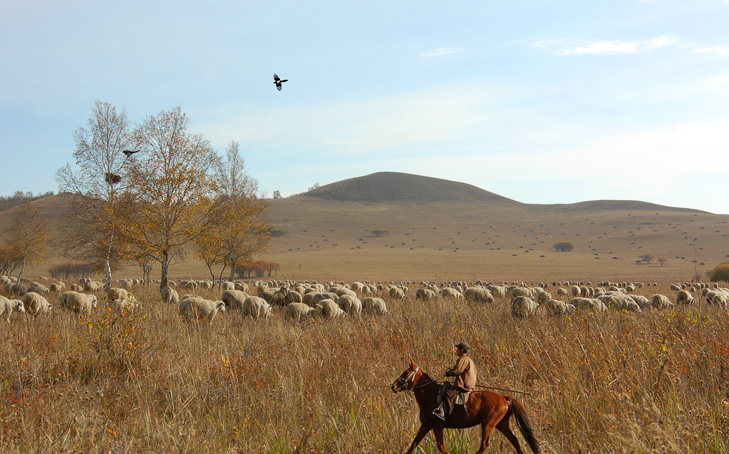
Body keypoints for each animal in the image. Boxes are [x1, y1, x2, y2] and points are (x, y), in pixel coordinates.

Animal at [392, 362, 540, 454]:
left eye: (406, 373)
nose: (393, 386)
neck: (430, 395)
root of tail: (504, 398)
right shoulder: (426, 425)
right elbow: (413, 444)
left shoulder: (437, 426)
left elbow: (441, 447)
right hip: (501, 424)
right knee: (514, 440)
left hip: (488, 424)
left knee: (484, 444)